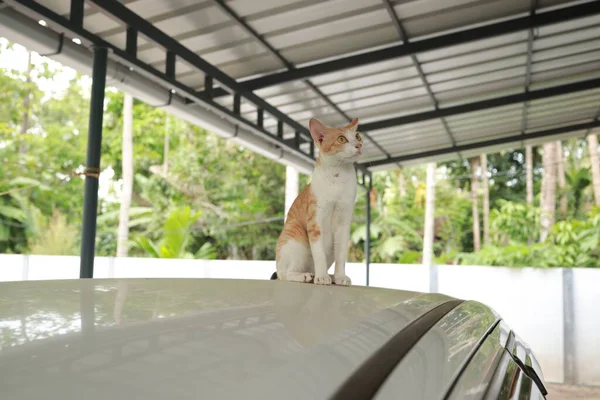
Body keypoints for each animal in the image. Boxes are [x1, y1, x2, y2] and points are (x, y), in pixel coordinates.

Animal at [274, 117, 364, 286]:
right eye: (341, 139)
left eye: (357, 136)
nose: (359, 145)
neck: (338, 177)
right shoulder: (315, 222)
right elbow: (319, 254)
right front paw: (322, 277)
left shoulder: (343, 224)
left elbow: (341, 257)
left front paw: (340, 276)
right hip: (295, 238)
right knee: (284, 274)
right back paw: (306, 276)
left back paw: (331, 276)